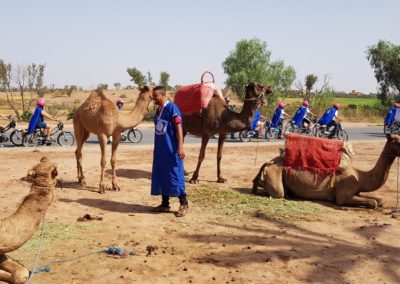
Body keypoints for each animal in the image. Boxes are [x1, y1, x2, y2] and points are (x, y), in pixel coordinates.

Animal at [253, 134, 400, 207]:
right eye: (396, 141)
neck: (360, 177)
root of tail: (269, 162)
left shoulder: (356, 190)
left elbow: (379, 200)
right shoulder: (343, 195)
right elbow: (373, 203)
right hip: (275, 175)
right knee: (278, 192)